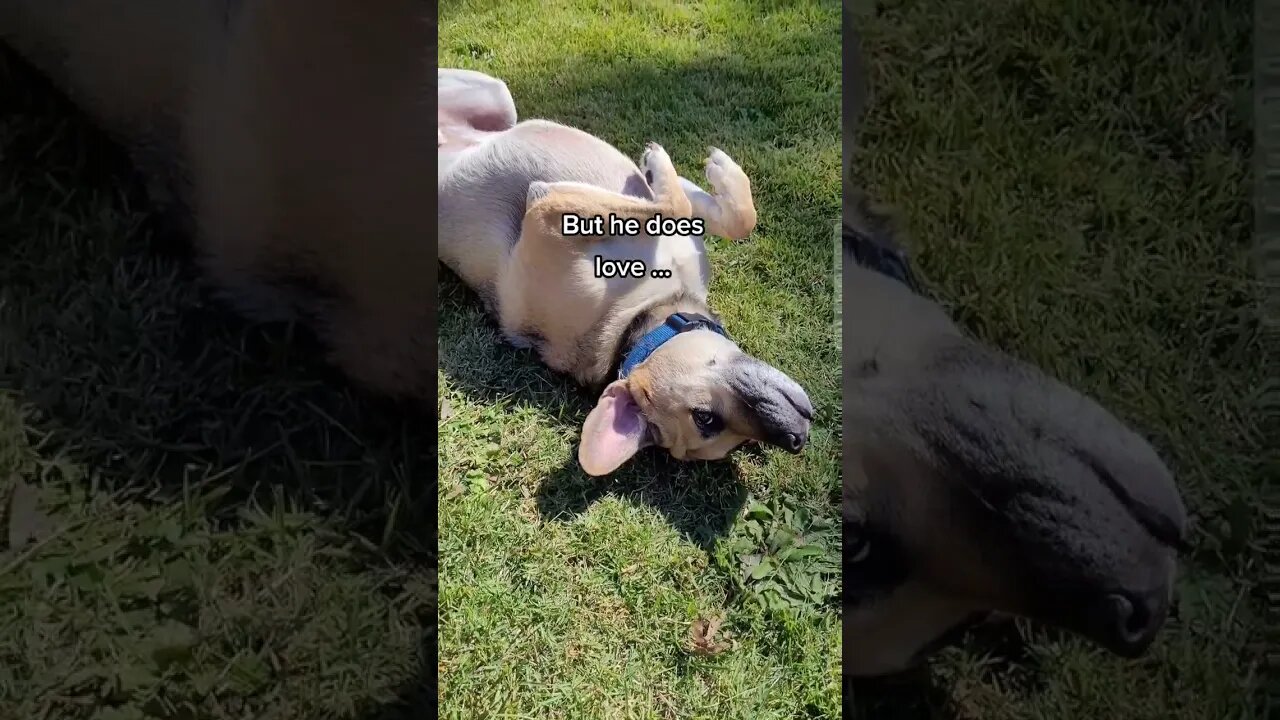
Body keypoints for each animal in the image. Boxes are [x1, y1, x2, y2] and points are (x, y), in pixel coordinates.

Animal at [440, 65, 814, 471]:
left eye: (738, 439)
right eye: (706, 419)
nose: (796, 438)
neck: (640, 317)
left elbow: (735, 218)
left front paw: (712, 174)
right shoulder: (546, 207)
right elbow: (676, 205)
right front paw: (663, 164)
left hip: (495, 95)